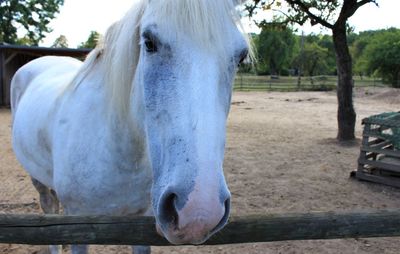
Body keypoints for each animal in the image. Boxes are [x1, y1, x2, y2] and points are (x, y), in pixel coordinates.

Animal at [10, 0, 250, 253]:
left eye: (241, 57)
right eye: (149, 42)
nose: (199, 212)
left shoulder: (142, 222)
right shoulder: (78, 223)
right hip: (37, 181)